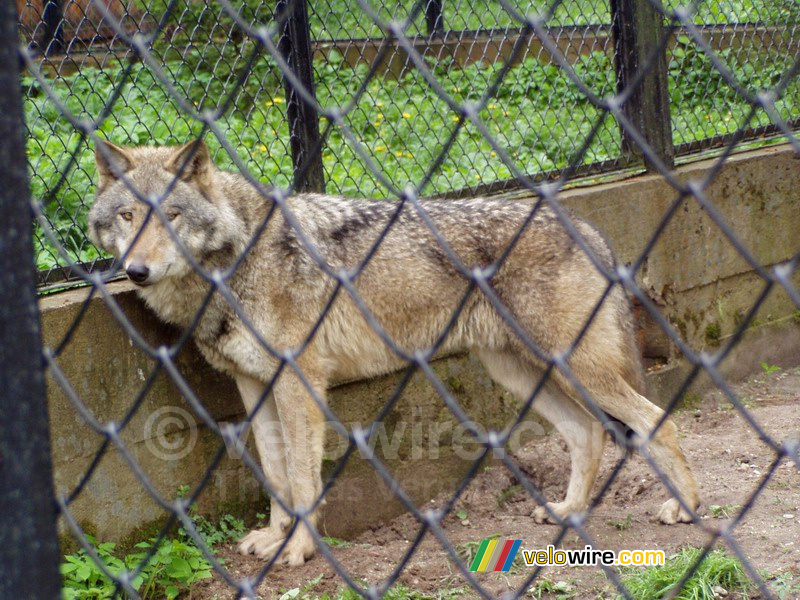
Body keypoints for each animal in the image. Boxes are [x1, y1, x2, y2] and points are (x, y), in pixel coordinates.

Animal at [88, 139, 699, 567]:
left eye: (170, 216)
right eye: (126, 217)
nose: (136, 271)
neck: (233, 260)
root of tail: (590, 230)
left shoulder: (298, 381)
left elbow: (303, 479)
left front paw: (299, 549)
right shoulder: (252, 384)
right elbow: (277, 474)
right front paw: (274, 536)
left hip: (574, 370)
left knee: (658, 420)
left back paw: (686, 509)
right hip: (521, 373)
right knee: (588, 431)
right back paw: (569, 512)